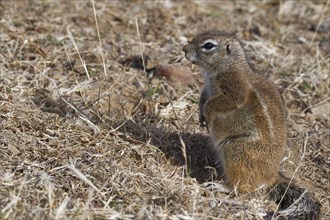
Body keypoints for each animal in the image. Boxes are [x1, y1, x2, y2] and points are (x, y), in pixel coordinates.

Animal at [183, 31, 320, 220]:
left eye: (208, 45)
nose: (184, 49)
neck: (228, 66)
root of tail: (270, 177)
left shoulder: (234, 87)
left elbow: (219, 102)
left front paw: (208, 114)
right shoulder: (206, 88)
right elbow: (204, 97)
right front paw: (200, 113)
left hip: (236, 150)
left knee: (243, 187)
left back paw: (221, 187)